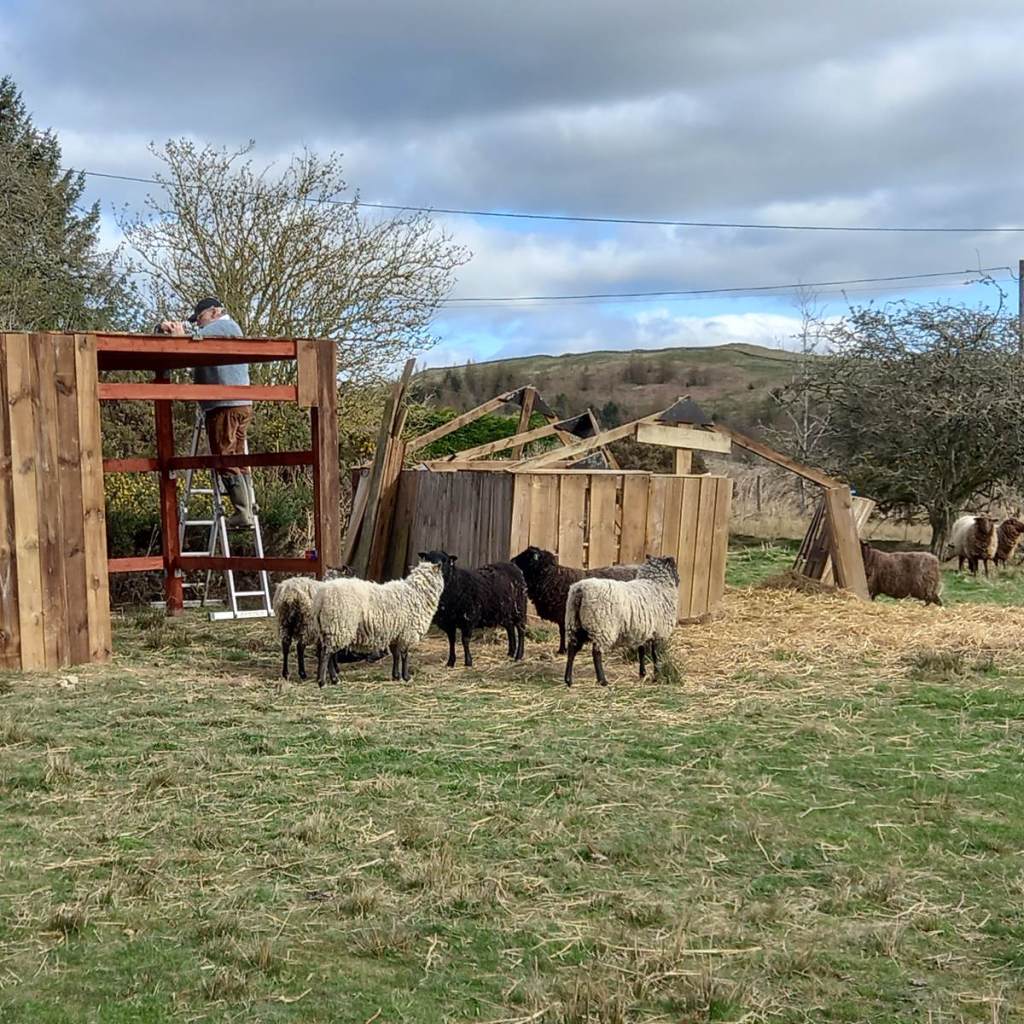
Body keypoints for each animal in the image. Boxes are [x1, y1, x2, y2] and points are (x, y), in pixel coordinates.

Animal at [312, 560, 444, 686]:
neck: (417, 593)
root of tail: (322, 596)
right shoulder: (407, 633)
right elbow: (405, 655)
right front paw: (406, 677)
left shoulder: (396, 633)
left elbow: (396, 655)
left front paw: (396, 676)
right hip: (338, 626)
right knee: (326, 654)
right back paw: (325, 681)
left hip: (328, 628)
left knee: (325, 653)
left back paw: (330, 679)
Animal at [511, 546, 641, 654]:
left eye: (526, 556)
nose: (512, 561)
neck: (554, 578)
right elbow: (562, 631)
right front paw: (562, 649)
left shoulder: (565, 613)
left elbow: (563, 632)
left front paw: (563, 650)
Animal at [564, 555, 679, 687]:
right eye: (675, 567)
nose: (679, 579)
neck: (656, 584)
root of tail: (580, 590)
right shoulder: (660, 631)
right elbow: (656, 655)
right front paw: (657, 675)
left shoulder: (643, 630)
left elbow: (641, 651)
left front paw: (643, 673)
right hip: (602, 627)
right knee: (596, 653)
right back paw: (602, 680)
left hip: (574, 624)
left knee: (572, 648)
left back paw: (568, 680)